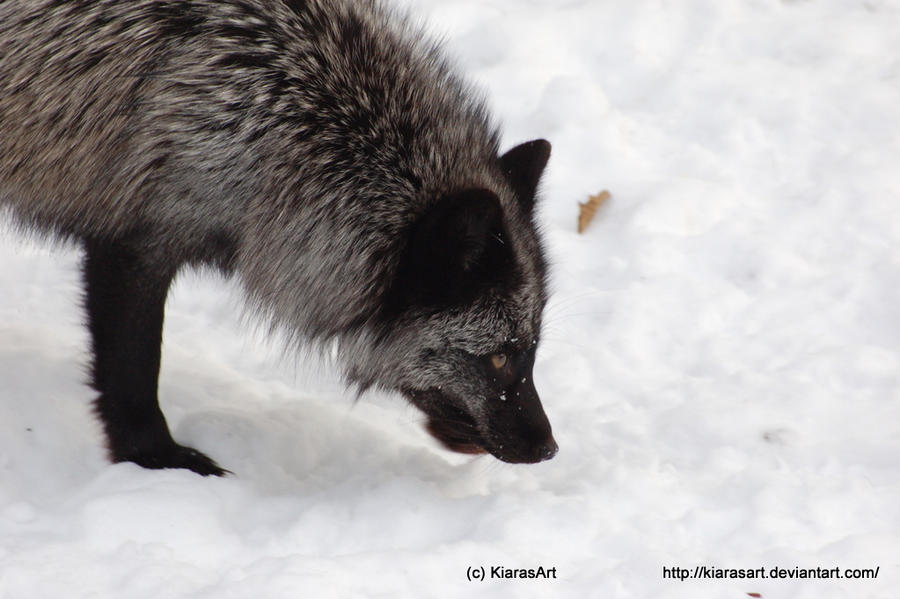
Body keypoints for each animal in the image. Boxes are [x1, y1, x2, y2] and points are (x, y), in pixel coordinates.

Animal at [1, 0, 556, 476]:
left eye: (532, 349)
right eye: (499, 357)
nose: (549, 449)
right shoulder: (135, 243)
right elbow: (133, 371)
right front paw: (153, 458)